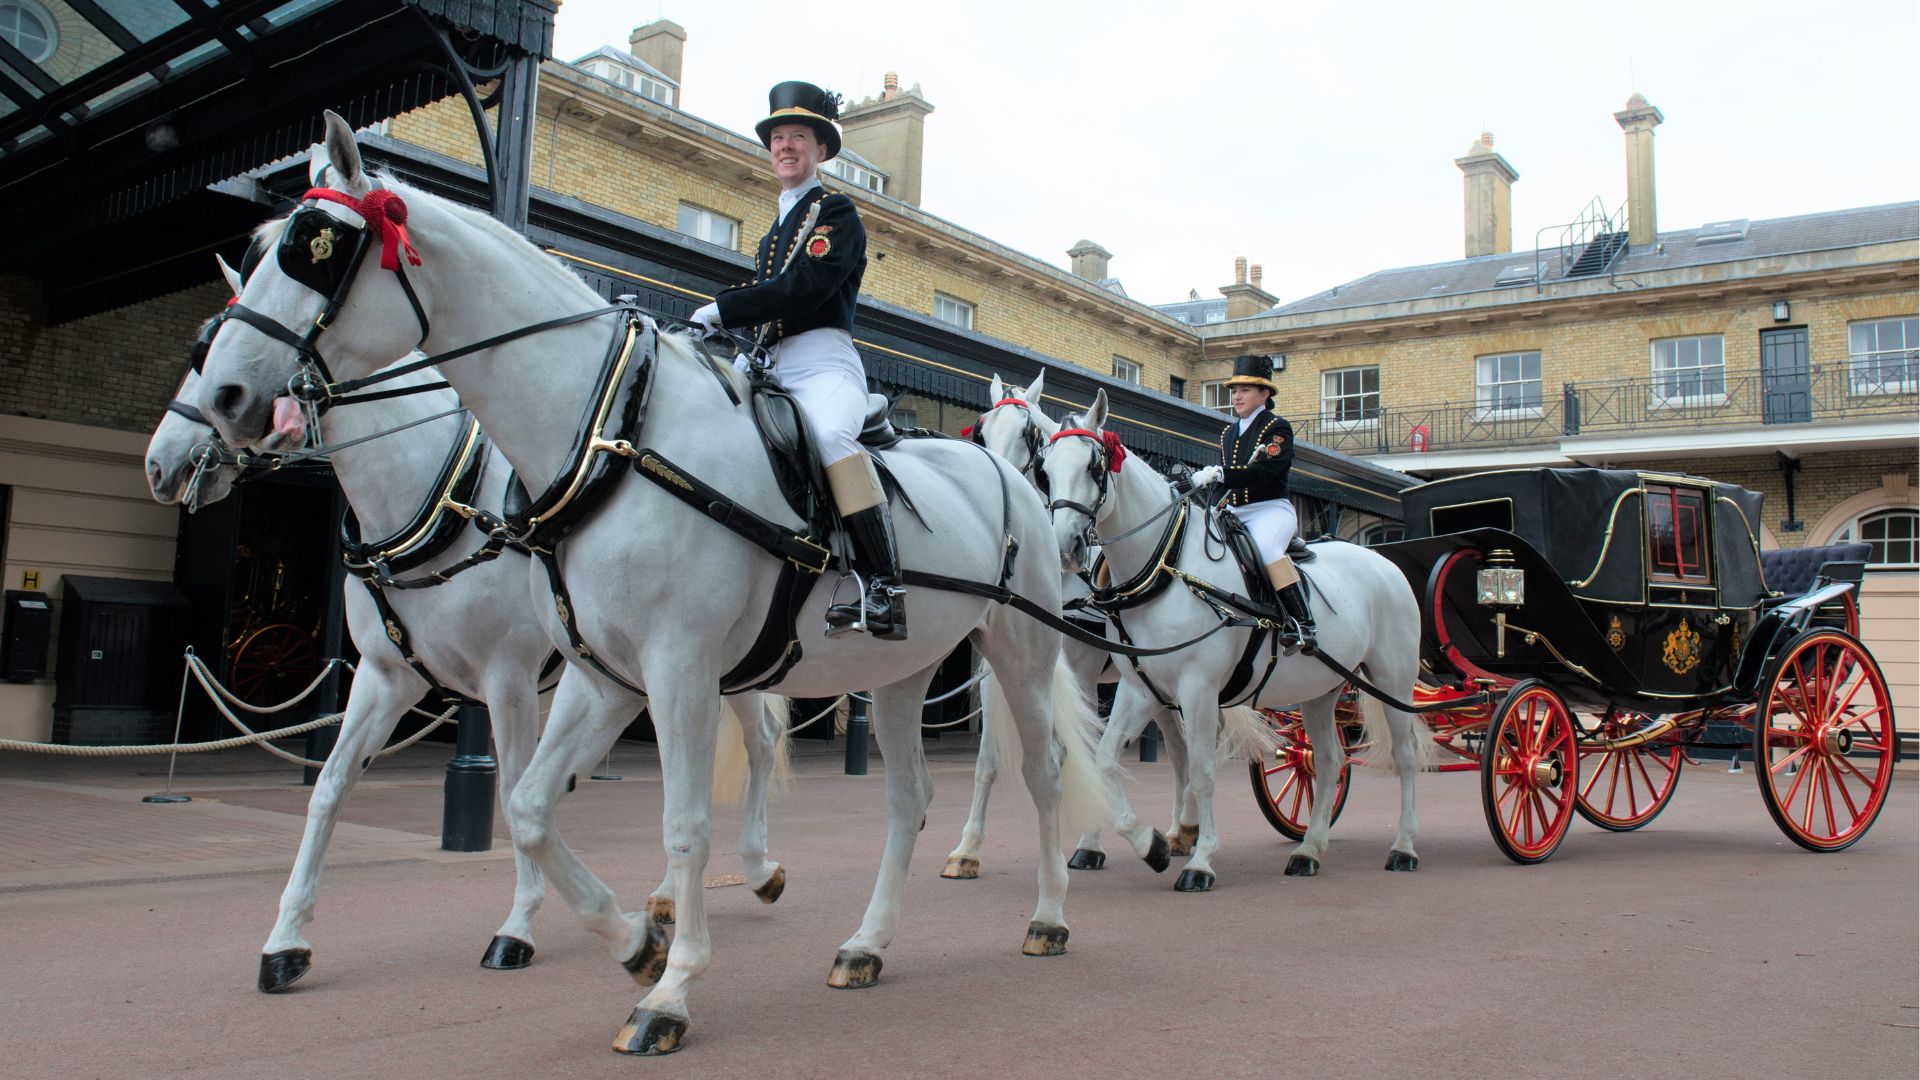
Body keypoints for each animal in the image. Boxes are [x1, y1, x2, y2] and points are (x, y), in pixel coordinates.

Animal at [147, 270, 794, 991]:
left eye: (216, 357)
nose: (162, 464)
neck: (434, 498)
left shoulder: (508, 679)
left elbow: (510, 792)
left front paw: (518, 926)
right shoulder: (385, 678)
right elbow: (331, 788)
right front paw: (286, 939)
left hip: (719, 661)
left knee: (759, 742)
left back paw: (755, 869)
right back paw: (668, 894)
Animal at [936, 374, 1190, 880]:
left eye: (1029, 436)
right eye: (981, 431)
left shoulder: (1080, 673)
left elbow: (1082, 752)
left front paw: (1092, 843)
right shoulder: (999, 673)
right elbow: (988, 761)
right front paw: (967, 848)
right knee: (1179, 748)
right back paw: (1180, 832)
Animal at [1036, 390, 1428, 887]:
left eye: (1094, 466)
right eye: (1045, 470)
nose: (1064, 548)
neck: (1165, 566)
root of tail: (1383, 561)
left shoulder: (1198, 689)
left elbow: (1202, 772)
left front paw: (1200, 860)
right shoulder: (1141, 689)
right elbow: (1105, 760)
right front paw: (1152, 845)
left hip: (1392, 682)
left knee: (1405, 756)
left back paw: (1404, 846)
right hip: (1320, 691)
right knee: (1330, 761)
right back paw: (1309, 850)